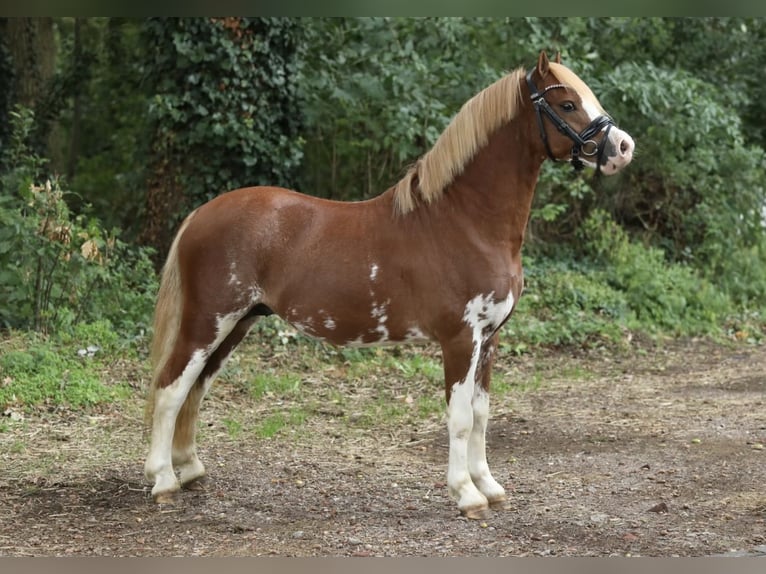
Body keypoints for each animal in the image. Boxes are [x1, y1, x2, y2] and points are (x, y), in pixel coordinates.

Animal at [143, 50, 634, 519]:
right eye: (567, 103)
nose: (623, 147)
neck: (465, 221)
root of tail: (201, 214)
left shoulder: (489, 339)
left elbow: (481, 415)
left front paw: (490, 487)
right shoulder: (460, 339)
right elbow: (459, 418)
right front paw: (467, 495)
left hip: (237, 324)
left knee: (195, 389)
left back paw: (190, 469)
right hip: (208, 320)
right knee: (170, 388)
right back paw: (163, 481)